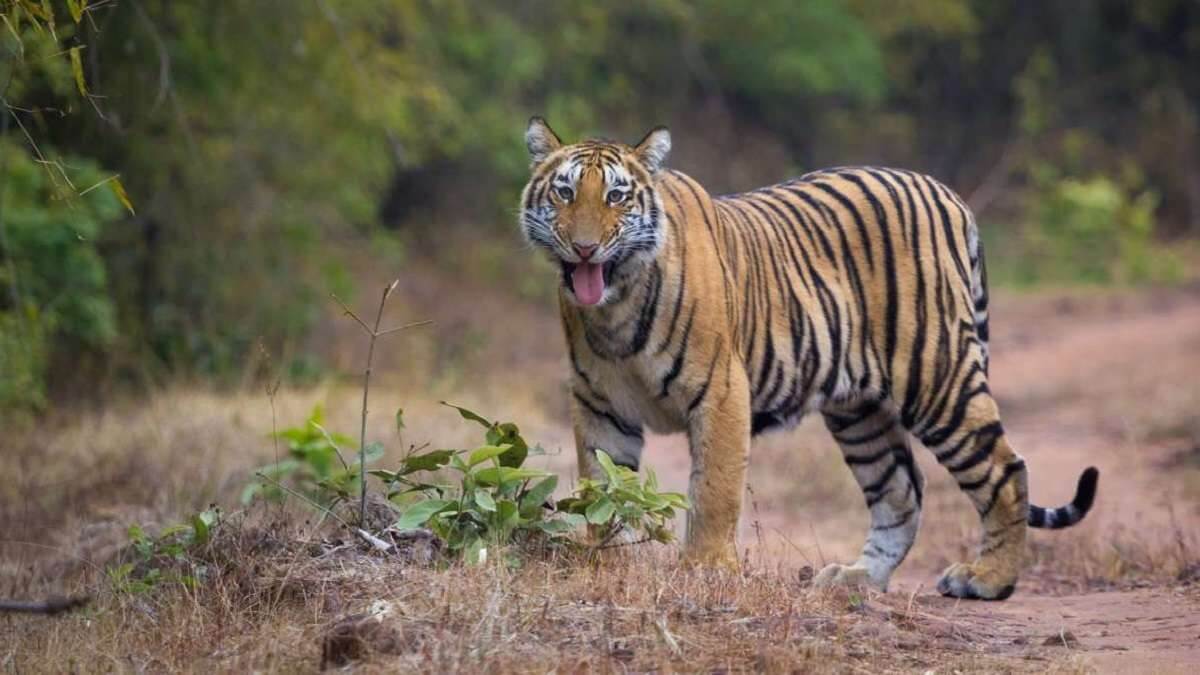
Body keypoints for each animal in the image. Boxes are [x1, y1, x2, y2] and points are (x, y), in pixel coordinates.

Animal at [518, 117, 1099, 600]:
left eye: (616, 196)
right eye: (565, 192)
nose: (585, 248)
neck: (614, 304)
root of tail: (946, 193)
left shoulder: (721, 392)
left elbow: (713, 490)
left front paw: (706, 569)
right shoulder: (600, 405)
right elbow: (601, 486)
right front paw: (604, 559)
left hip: (937, 377)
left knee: (1005, 469)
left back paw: (987, 580)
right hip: (860, 411)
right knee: (901, 488)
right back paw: (857, 578)